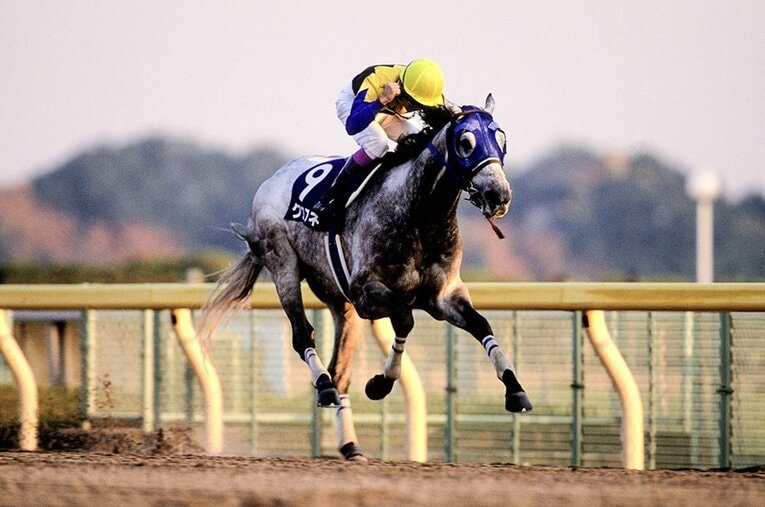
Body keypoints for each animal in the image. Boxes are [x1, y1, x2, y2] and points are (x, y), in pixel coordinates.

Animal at [200, 95, 533, 461]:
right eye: (466, 142)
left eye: (502, 140)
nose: (499, 196)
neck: (421, 216)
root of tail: (271, 180)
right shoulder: (365, 292)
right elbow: (404, 319)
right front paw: (380, 383)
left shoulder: (443, 297)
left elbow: (481, 325)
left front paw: (515, 389)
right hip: (283, 265)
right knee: (303, 336)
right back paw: (325, 387)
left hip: (340, 304)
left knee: (341, 371)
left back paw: (350, 444)